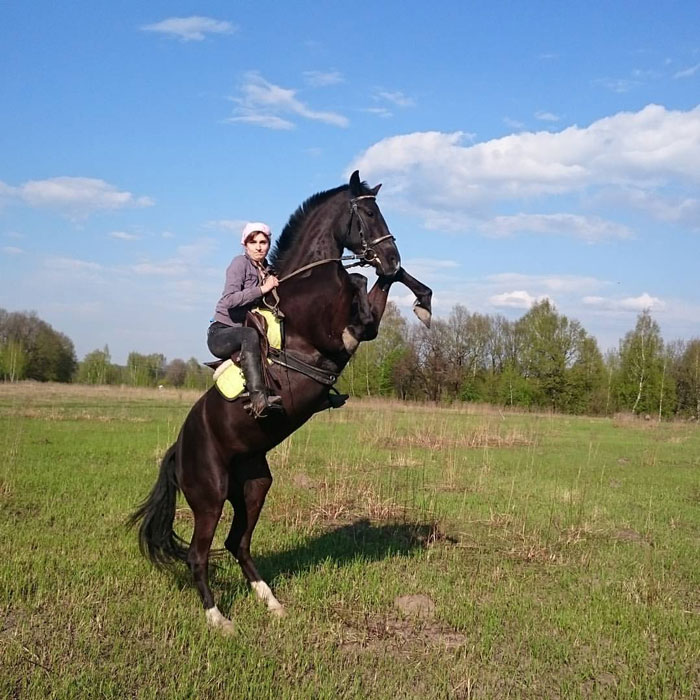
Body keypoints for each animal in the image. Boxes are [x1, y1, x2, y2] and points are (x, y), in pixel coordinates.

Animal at [129, 171, 430, 636]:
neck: (308, 280)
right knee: (200, 554)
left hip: (254, 485)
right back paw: (219, 619)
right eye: (366, 213)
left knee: (238, 542)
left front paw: (422, 301)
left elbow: (383, 285)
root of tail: (179, 447)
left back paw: (271, 601)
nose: (391, 256)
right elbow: (361, 293)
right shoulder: (334, 333)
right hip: (210, 495)